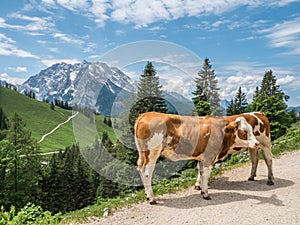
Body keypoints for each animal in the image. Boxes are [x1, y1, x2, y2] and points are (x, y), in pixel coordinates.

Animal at [135, 111, 266, 205]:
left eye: (251, 129)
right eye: (243, 131)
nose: (256, 143)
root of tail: (146, 114)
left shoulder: (202, 158)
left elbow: (202, 173)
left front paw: (202, 191)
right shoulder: (209, 156)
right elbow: (206, 174)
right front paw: (206, 194)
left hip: (142, 154)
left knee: (140, 169)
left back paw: (147, 196)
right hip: (152, 153)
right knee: (146, 173)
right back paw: (152, 198)